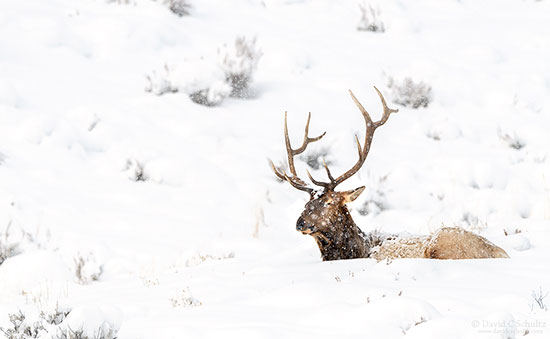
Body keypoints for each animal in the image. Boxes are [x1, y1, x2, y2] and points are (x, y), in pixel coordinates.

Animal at [270, 86, 512, 262]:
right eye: (306, 202)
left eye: (330, 202)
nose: (300, 223)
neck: (358, 250)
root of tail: (503, 253)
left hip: (441, 243)